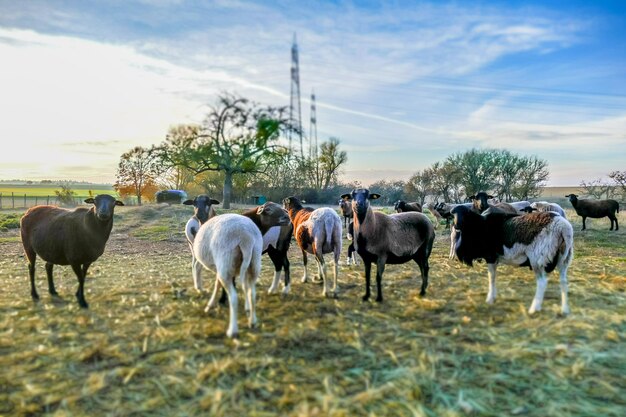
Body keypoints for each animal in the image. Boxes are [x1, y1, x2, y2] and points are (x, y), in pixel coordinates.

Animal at [193, 206, 290, 336]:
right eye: (268, 209)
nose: (287, 217)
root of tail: (246, 238)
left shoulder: (222, 267)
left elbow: (217, 284)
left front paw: (211, 304)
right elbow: (220, 284)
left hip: (227, 262)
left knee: (234, 297)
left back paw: (232, 330)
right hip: (254, 262)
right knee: (252, 292)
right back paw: (253, 321)